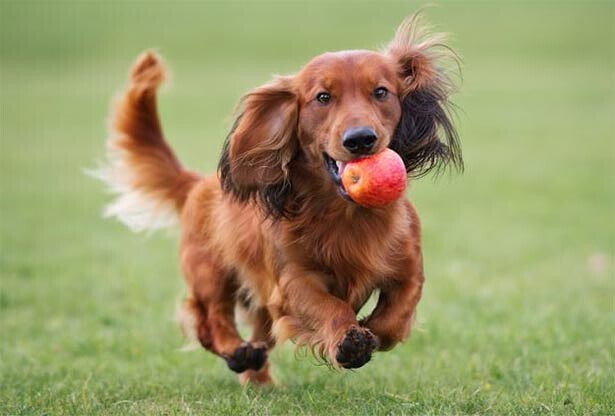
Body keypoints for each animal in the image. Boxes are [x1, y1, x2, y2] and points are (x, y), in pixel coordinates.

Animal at [97, 14, 462, 386]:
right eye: (323, 97)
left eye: (381, 92)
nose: (360, 139)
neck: (347, 215)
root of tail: (198, 183)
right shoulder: (292, 282)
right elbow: (330, 306)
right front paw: (349, 340)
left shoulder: (409, 270)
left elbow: (394, 318)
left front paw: (370, 330)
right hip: (210, 271)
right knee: (209, 319)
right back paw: (236, 351)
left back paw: (258, 377)